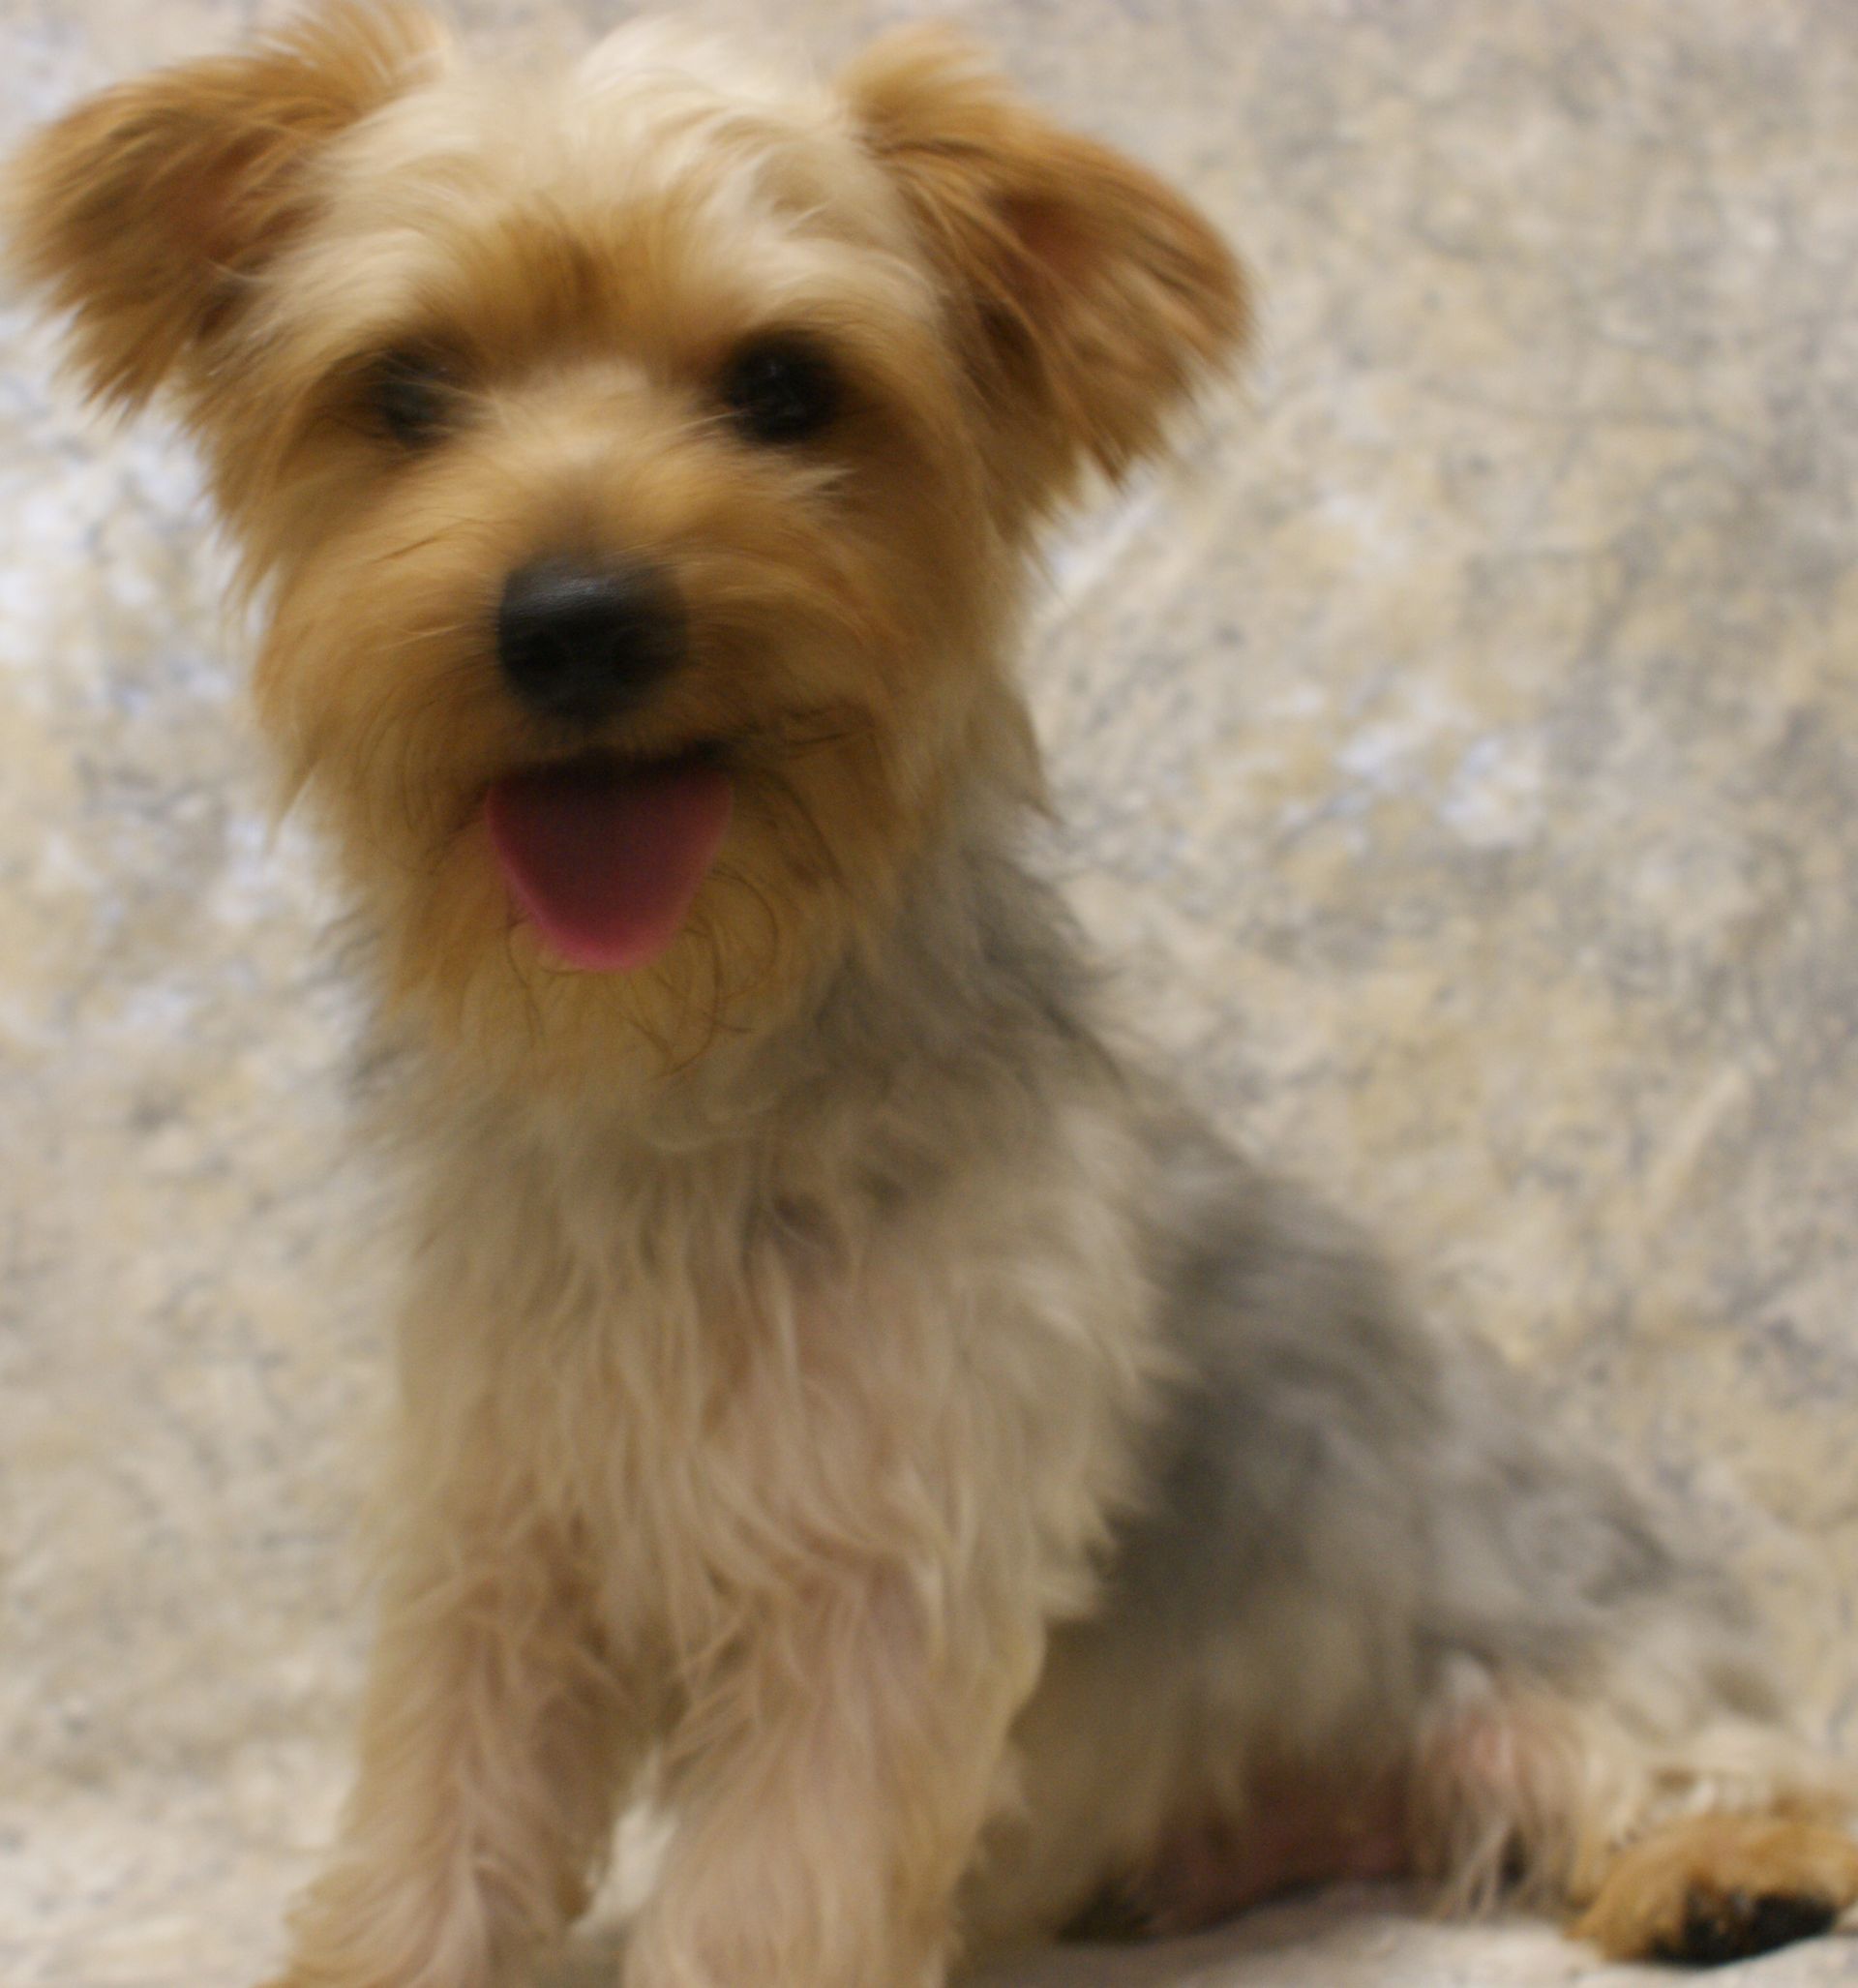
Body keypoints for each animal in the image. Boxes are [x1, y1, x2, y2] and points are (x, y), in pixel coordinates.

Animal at [10, 6, 1858, 1984]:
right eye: (409, 391)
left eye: (784, 386)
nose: (576, 615)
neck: (685, 1064)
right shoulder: (501, 1542)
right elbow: (437, 1827)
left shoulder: (881, 1568)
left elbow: (762, 1892)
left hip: (1540, 1649)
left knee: (1691, 1750)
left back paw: (1719, 1866)